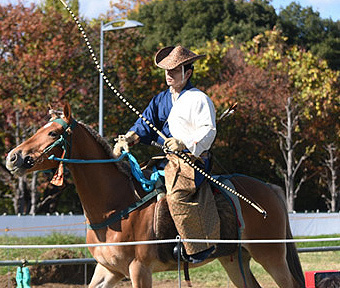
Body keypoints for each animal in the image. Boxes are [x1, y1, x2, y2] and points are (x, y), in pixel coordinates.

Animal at [5, 103, 304, 288]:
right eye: (38, 130)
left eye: (53, 133)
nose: (13, 157)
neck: (115, 208)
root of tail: (269, 189)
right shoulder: (108, 270)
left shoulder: (139, 269)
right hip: (234, 258)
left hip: (271, 254)